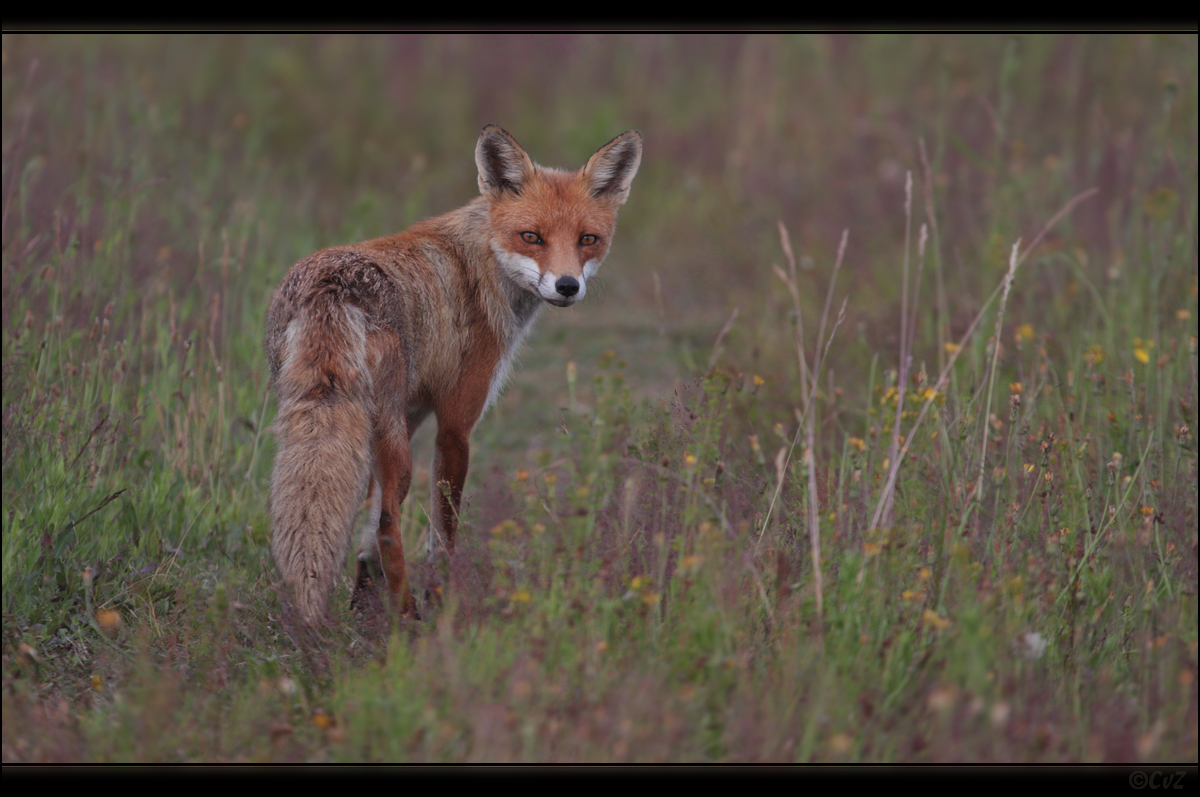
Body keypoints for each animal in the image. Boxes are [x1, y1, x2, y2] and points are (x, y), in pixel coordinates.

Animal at [262, 126, 638, 624]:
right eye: (532, 237)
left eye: (588, 239)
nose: (567, 286)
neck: (482, 263)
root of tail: (330, 286)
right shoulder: (456, 423)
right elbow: (442, 534)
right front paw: (442, 600)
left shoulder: (412, 414)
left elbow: (365, 530)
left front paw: (362, 604)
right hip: (395, 445)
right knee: (390, 527)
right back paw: (409, 619)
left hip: (353, 426)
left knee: (373, 519)